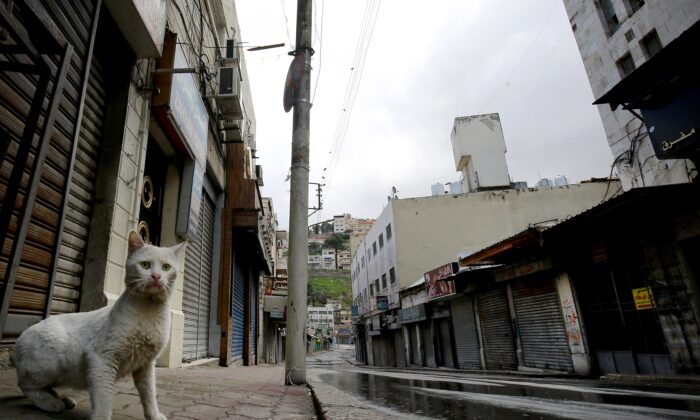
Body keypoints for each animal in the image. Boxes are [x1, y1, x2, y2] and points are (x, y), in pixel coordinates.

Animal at [13, 231, 185, 418]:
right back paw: (50, 403)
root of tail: (20, 337)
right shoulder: (102, 359)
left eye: (166, 267)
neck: (149, 312)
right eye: (145, 265)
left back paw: (62, 400)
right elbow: (104, 399)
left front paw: (153, 415)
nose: (156, 276)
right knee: (26, 385)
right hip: (49, 365)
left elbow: (149, 394)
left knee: (42, 387)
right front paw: (101, 416)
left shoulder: (145, 365)